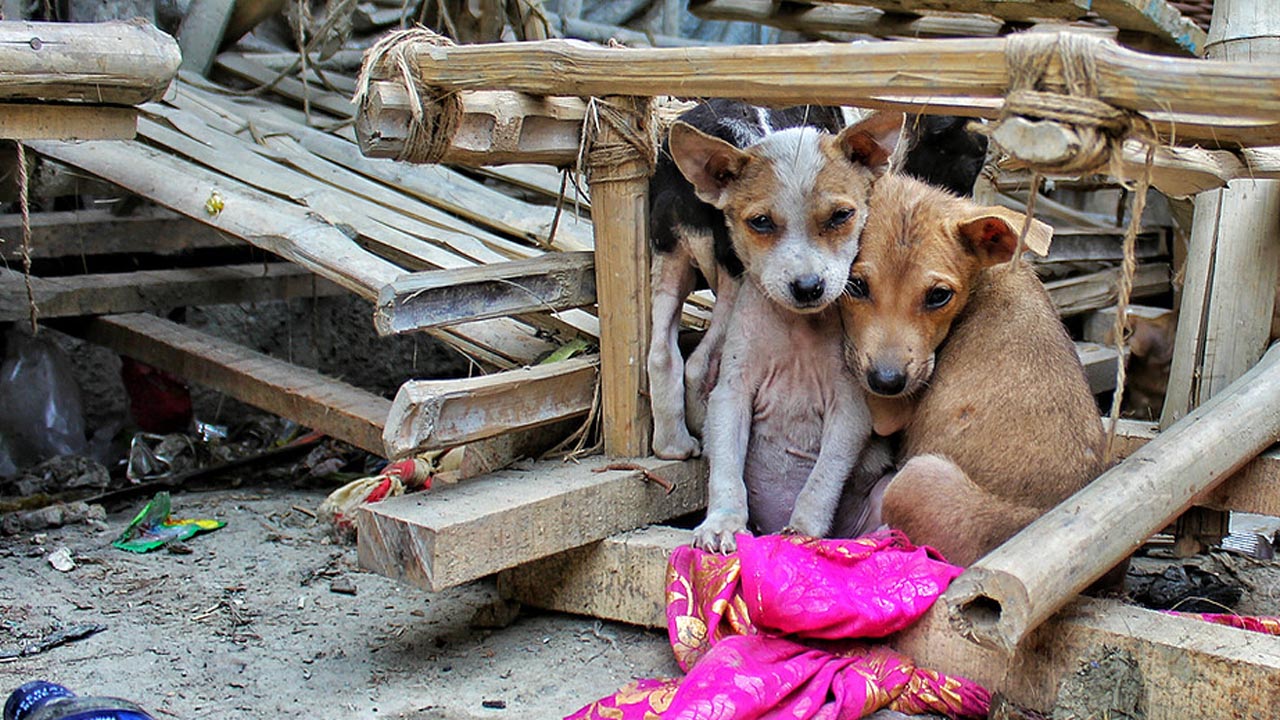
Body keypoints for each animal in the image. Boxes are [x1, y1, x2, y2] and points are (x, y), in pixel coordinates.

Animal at [844, 170, 1105, 563]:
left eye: (939, 296)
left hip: (916, 477)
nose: (887, 382)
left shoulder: (890, 409)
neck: (987, 277)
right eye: (855, 285)